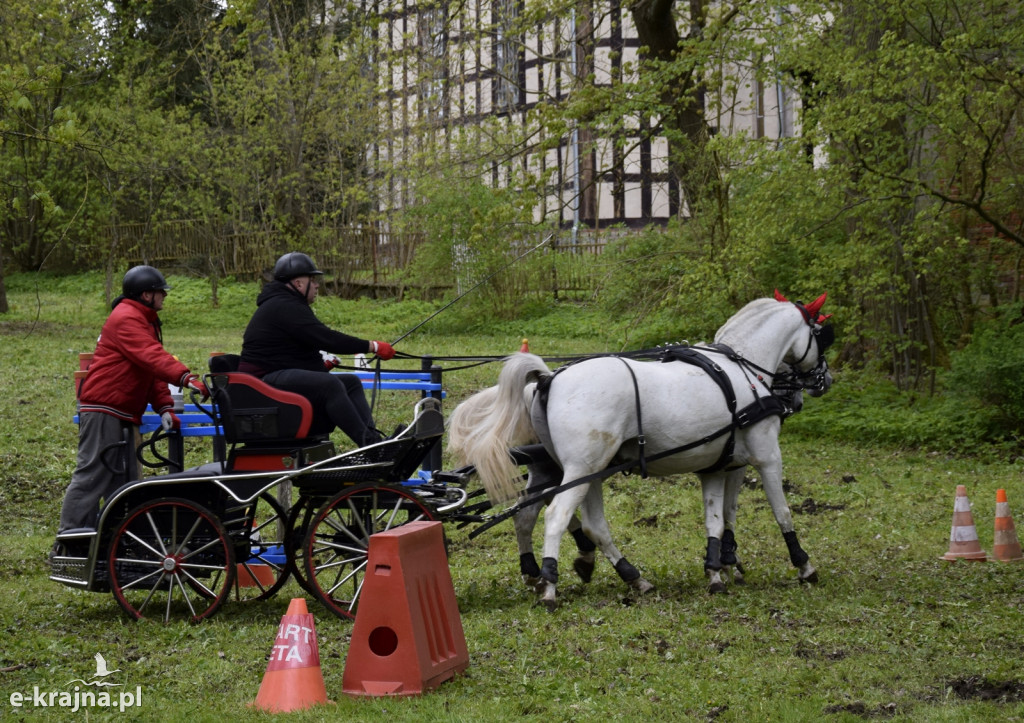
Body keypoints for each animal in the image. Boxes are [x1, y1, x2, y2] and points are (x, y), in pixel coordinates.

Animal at [448, 290, 831, 606]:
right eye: (823, 334)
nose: (822, 382)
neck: (743, 371)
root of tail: (548, 379)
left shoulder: (717, 466)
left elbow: (718, 518)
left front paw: (717, 570)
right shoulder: (767, 458)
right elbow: (782, 512)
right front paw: (804, 566)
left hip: (573, 470)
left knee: (552, 518)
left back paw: (611, 577)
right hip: (581, 469)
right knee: (556, 515)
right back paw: (550, 587)